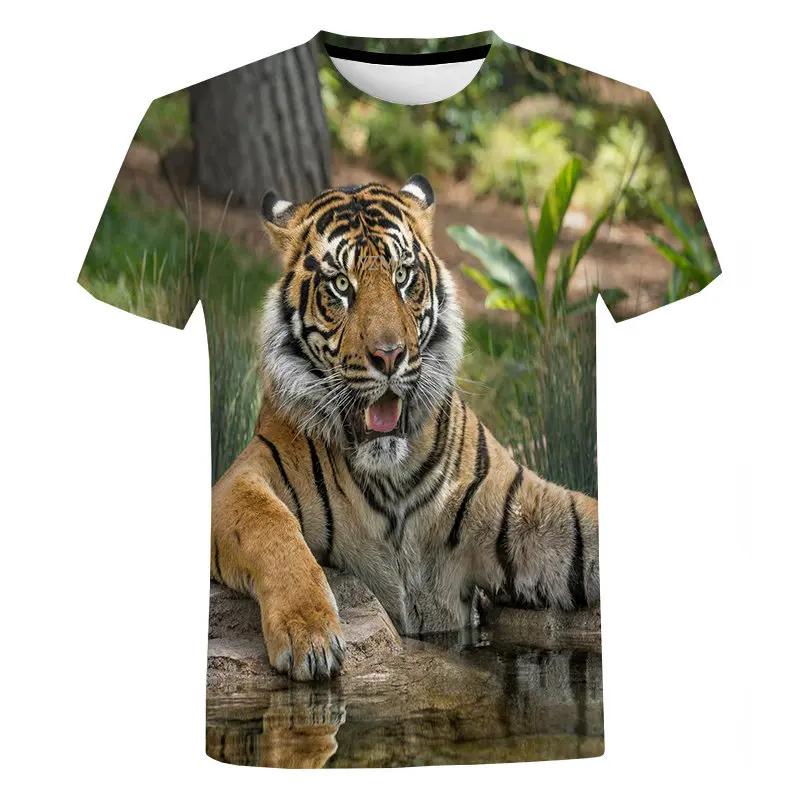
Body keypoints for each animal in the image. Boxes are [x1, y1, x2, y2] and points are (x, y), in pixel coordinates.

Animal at [210, 175, 600, 681]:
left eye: (402, 276)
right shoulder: (239, 480)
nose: (389, 355)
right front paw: (309, 635)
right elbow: (269, 525)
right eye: (341, 285)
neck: (389, 472)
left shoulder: (524, 512)